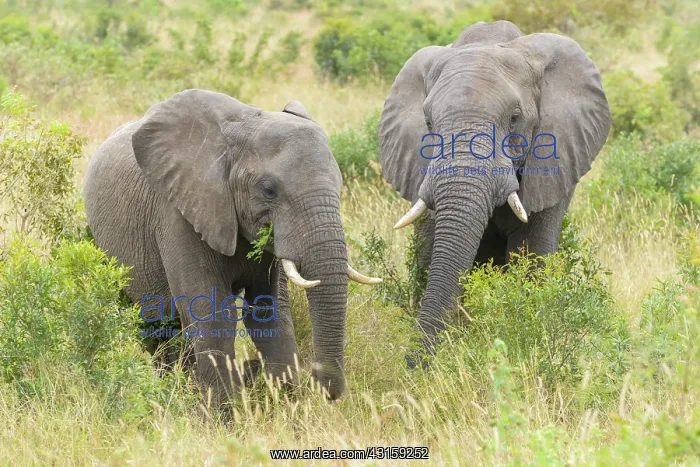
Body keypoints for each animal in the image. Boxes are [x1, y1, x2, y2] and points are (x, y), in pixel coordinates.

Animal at [83, 89, 380, 401]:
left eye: (340, 185)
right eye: (269, 190)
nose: (321, 388)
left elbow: (269, 313)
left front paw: (284, 405)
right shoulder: (179, 214)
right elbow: (213, 318)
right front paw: (224, 413)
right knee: (154, 325)